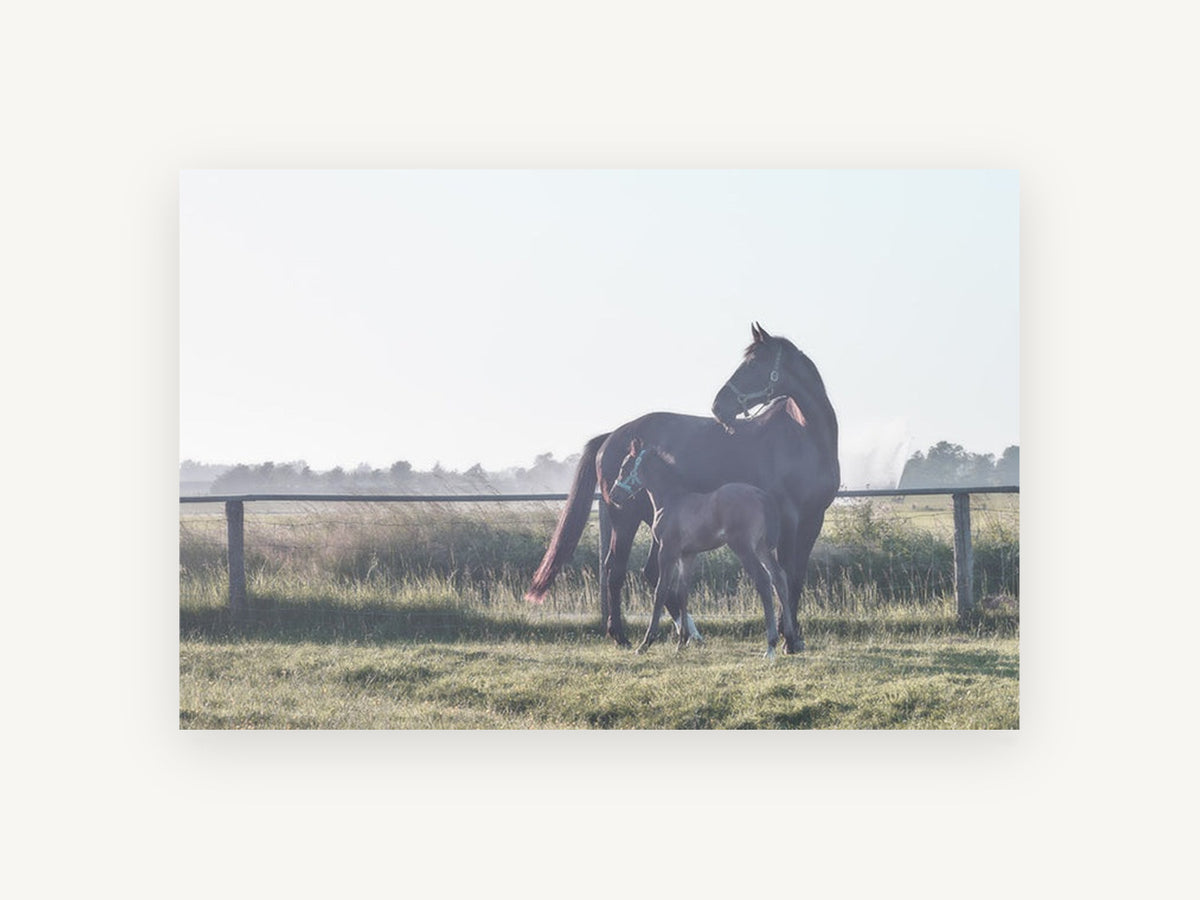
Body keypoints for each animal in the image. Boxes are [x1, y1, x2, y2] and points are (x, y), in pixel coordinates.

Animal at [611, 438, 798, 658]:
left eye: (624, 467)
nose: (614, 495)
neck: (670, 501)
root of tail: (760, 495)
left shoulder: (667, 551)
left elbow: (661, 591)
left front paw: (645, 643)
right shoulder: (687, 555)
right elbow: (682, 591)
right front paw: (682, 642)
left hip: (743, 547)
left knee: (763, 580)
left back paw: (770, 645)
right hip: (761, 547)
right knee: (779, 577)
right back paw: (790, 638)